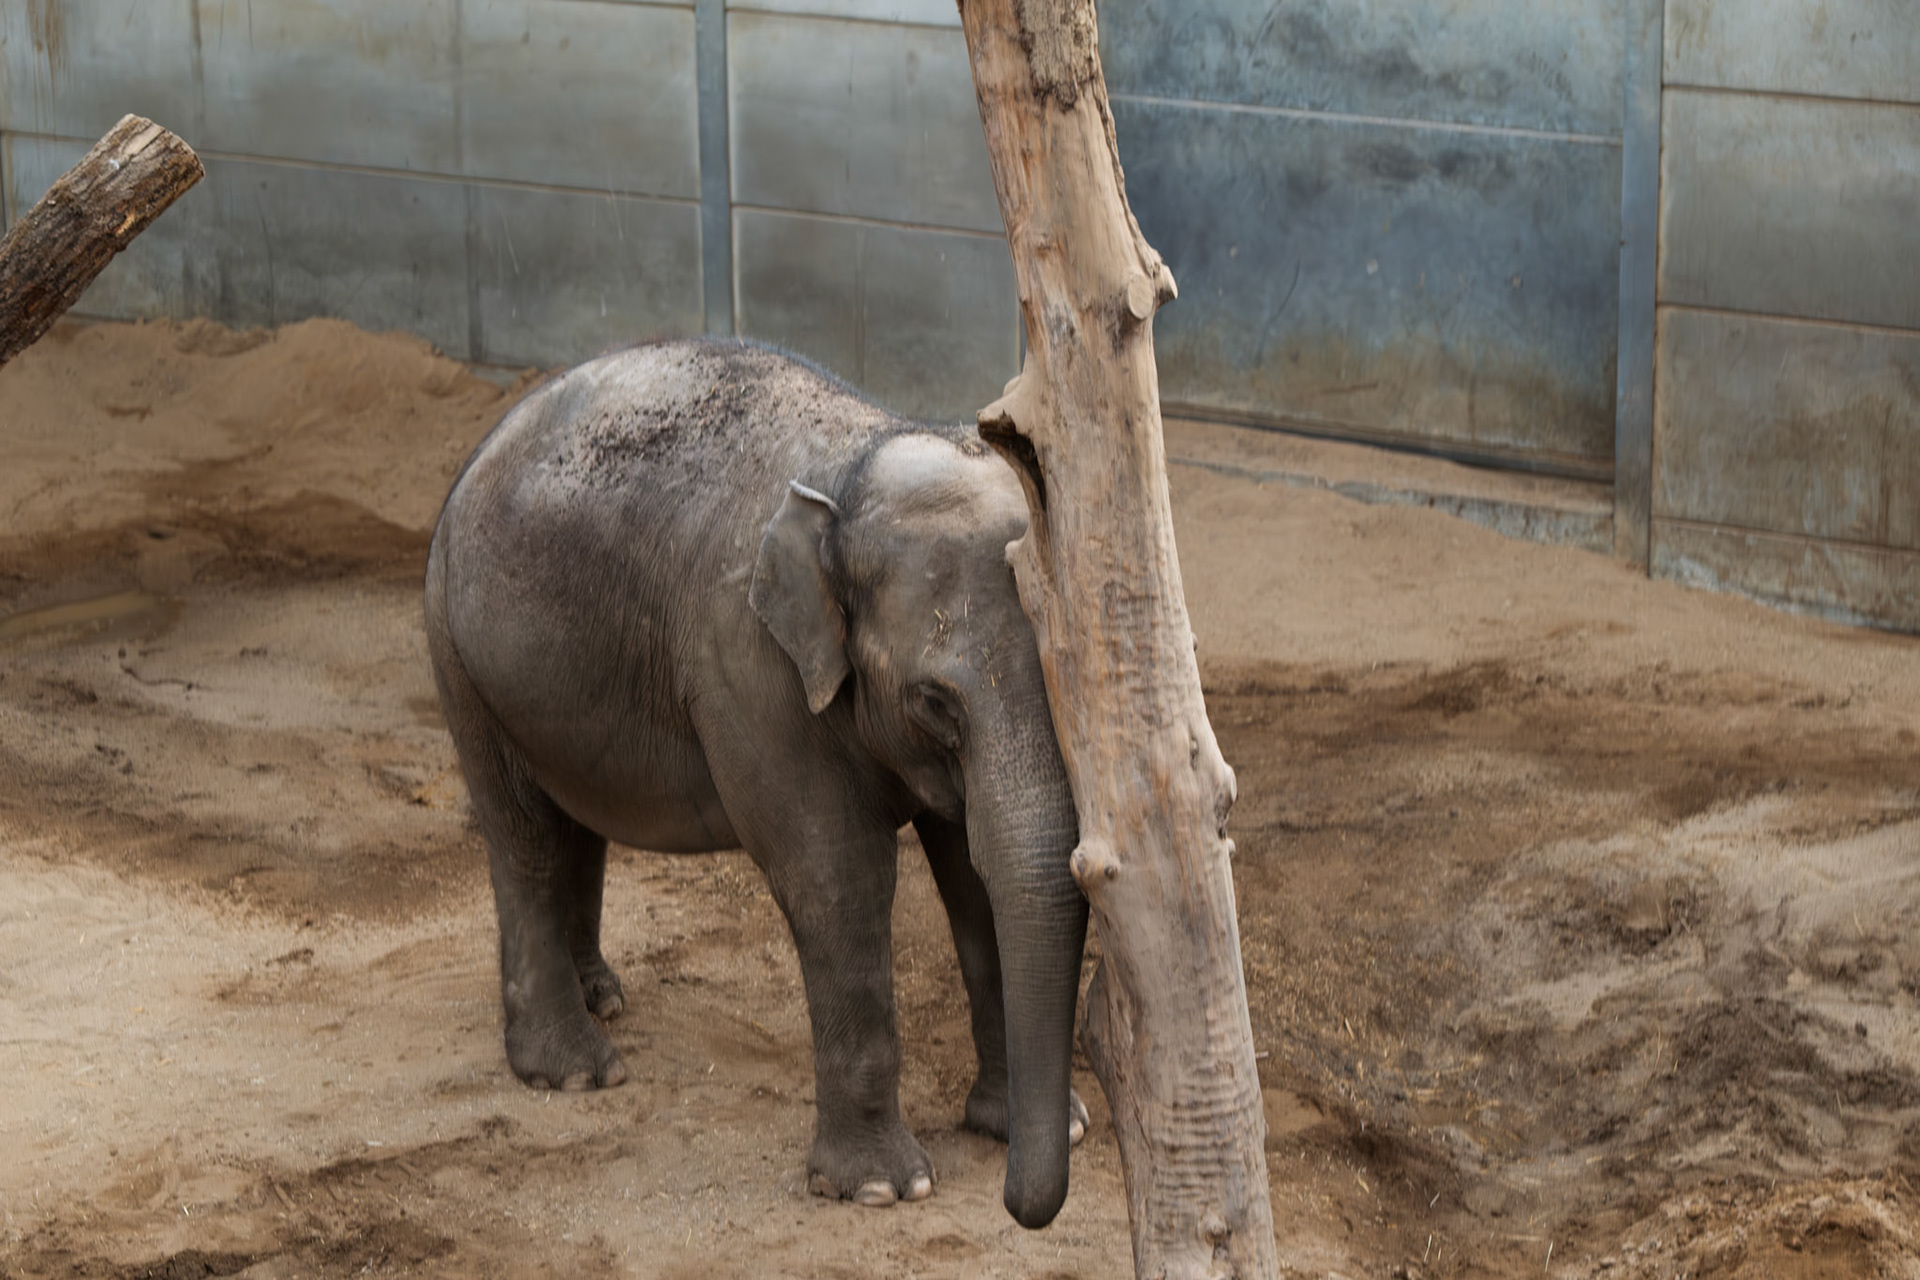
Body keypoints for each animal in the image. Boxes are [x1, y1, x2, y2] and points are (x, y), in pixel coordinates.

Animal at [423, 339, 1089, 1228]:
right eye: (933, 701)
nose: (1021, 1208)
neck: (861, 457)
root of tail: (487, 440)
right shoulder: (749, 667)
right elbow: (837, 881)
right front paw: (881, 1189)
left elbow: (975, 873)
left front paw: (1032, 1127)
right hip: (460, 653)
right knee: (523, 834)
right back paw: (575, 1071)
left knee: (576, 816)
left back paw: (602, 996)